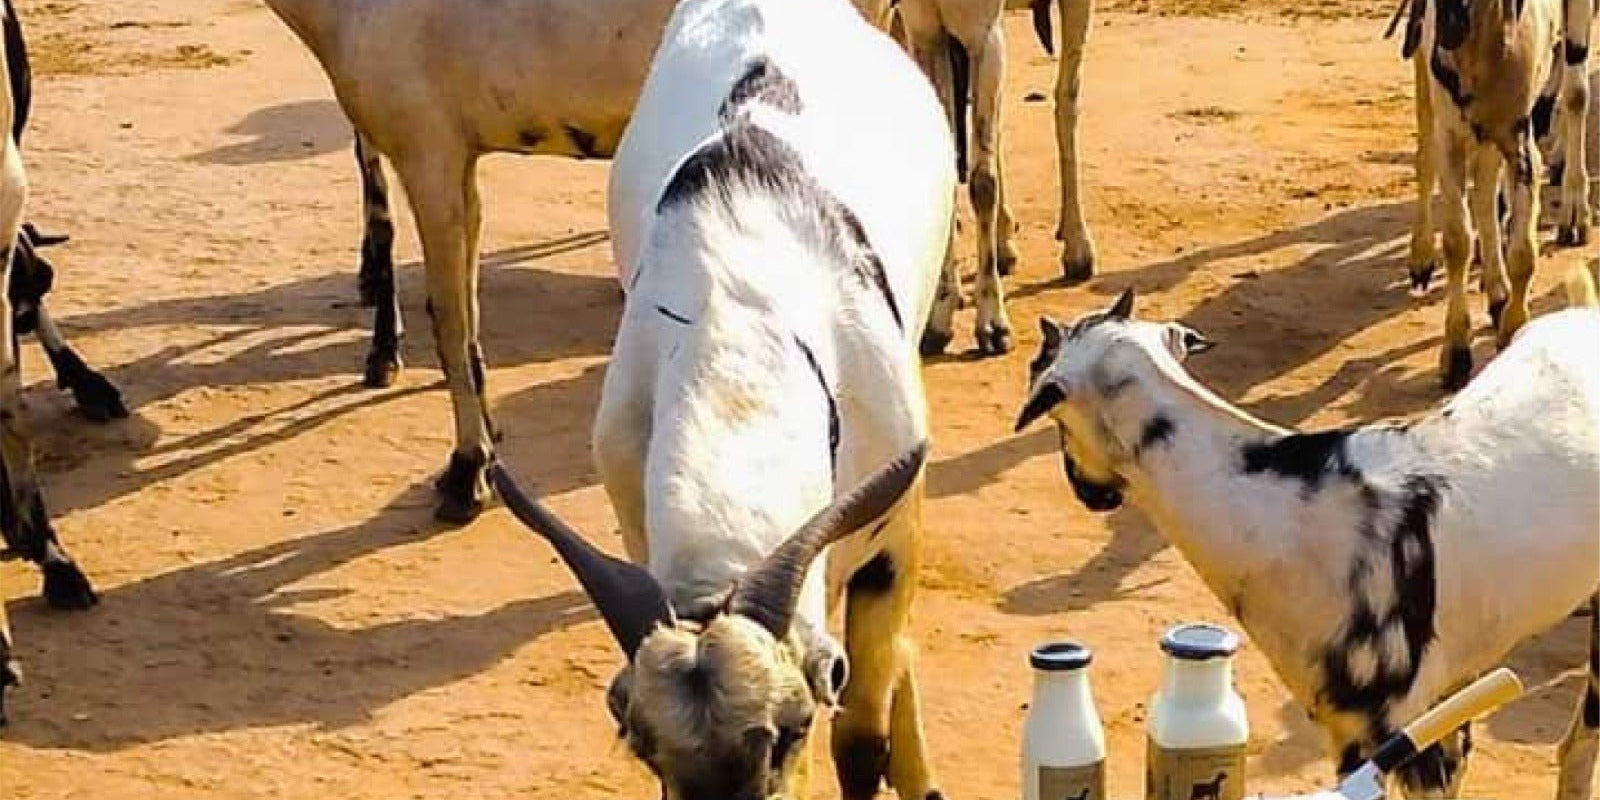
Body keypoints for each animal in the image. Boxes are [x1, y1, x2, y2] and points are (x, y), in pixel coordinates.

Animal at [1399, 0, 1592, 390]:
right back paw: (1422, 258)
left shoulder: (1517, 138)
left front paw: (1514, 326)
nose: (1451, 25)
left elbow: (1524, 252)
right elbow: (1456, 241)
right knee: (1428, 157)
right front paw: (1456, 351)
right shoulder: (1453, 136)